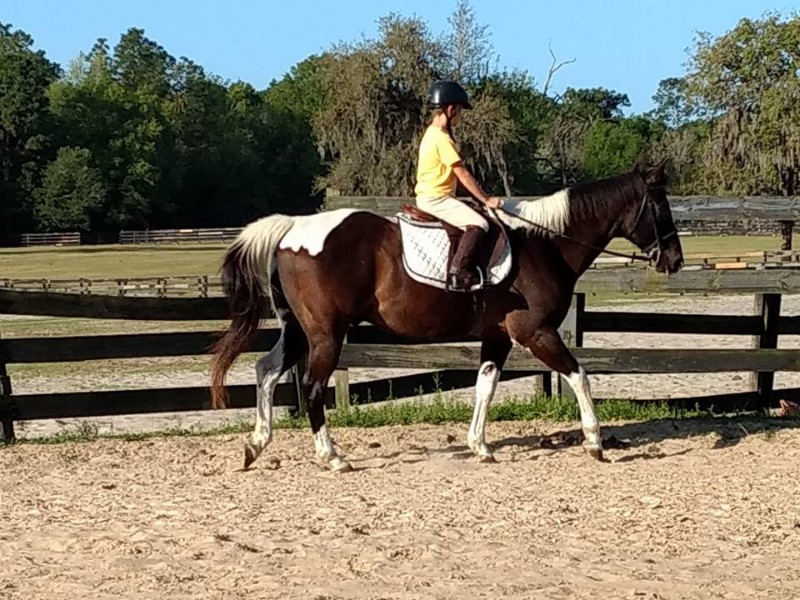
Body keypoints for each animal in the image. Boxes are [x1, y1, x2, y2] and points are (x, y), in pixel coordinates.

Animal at [209, 162, 684, 472]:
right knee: (310, 387)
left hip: (299, 331)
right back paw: (333, 457)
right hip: (326, 334)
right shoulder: (536, 332)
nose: (675, 260)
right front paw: (595, 442)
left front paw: (480, 447)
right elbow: (579, 375)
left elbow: (485, 386)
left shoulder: (500, 336)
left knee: (267, 371)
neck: (544, 243)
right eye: (662, 208)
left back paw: (256, 445)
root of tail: (294, 229)